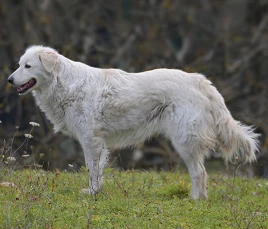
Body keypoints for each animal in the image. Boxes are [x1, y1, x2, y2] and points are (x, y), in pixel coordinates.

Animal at [8, 46, 258, 199]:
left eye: (27, 66)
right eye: (19, 64)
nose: (9, 80)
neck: (63, 83)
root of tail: (201, 81)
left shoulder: (90, 140)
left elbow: (91, 169)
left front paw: (92, 193)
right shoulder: (98, 142)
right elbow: (98, 170)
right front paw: (97, 192)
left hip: (184, 141)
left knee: (200, 172)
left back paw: (194, 200)